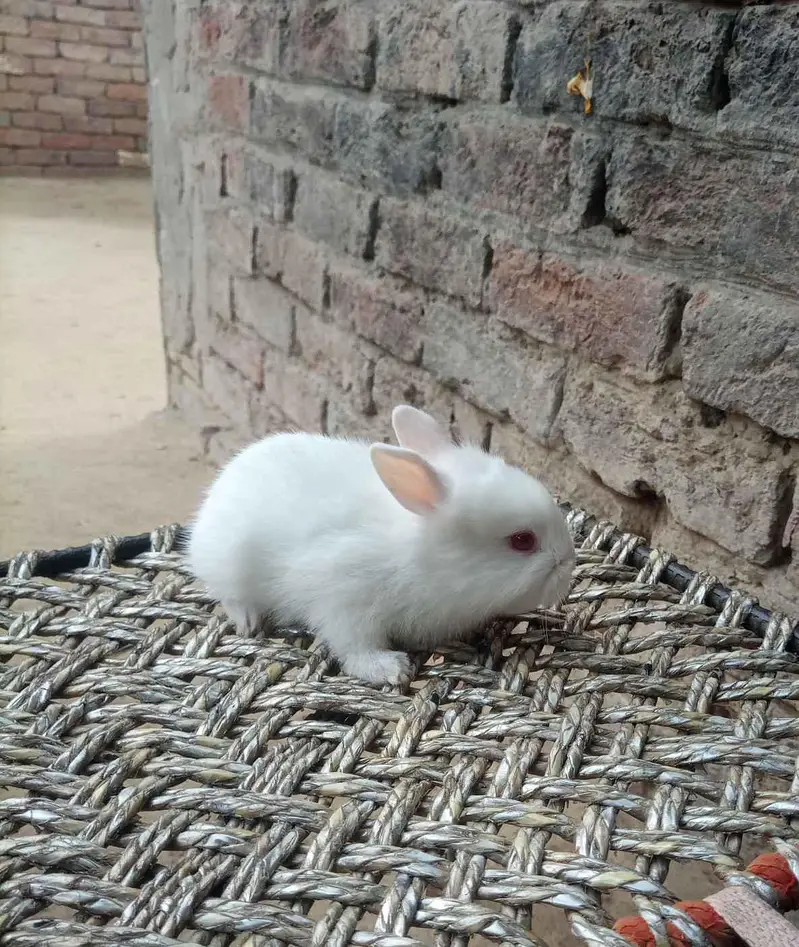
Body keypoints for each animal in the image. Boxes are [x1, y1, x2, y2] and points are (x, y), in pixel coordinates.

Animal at [187, 405, 576, 685]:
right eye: (522, 540)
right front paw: (390, 669)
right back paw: (248, 621)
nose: (569, 562)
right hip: (228, 563)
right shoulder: (344, 598)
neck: (419, 557)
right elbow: (353, 646)